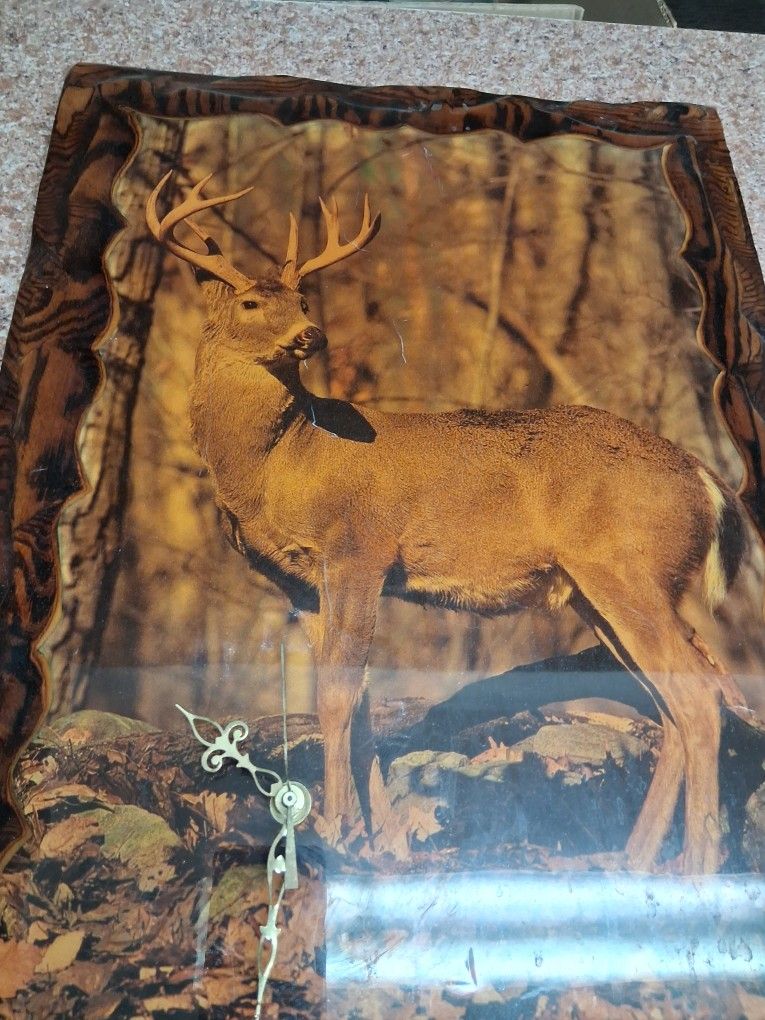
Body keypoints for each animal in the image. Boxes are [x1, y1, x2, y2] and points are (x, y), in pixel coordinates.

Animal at [146, 171, 751, 875]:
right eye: (248, 302)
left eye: (299, 297)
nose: (310, 333)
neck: (282, 463)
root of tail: (705, 479)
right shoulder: (305, 585)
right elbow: (360, 703)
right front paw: (377, 839)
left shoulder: (358, 551)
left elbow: (337, 697)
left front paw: (336, 828)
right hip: (599, 592)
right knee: (674, 704)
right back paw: (633, 858)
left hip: (628, 569)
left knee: (700, 699)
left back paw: (697, 866)